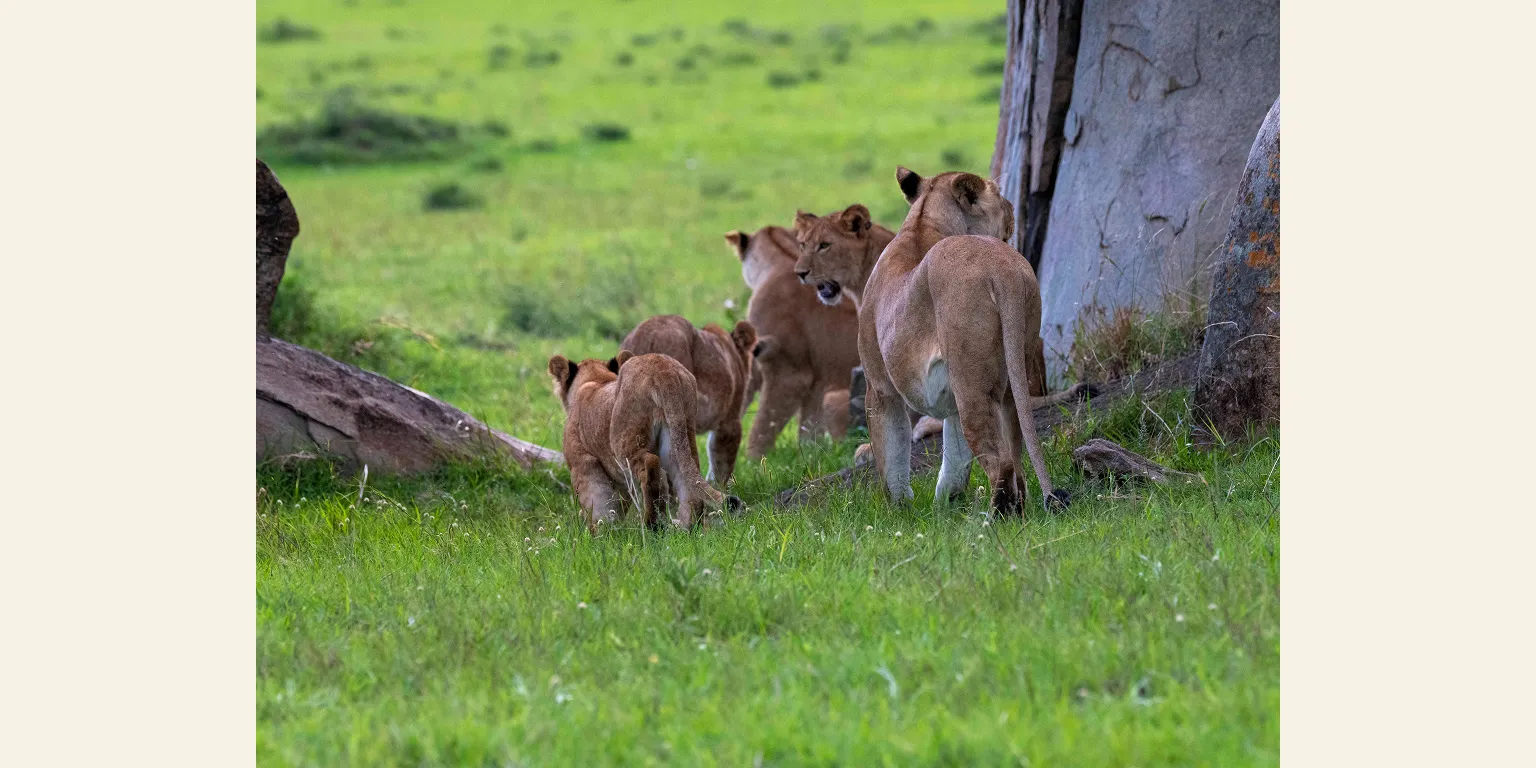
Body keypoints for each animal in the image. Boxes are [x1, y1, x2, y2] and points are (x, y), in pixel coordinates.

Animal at [548, 350, 738, 533]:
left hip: (626, 443)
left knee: (651, 466)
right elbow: (617, 504)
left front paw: (598, 533)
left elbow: (597, 500)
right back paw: (687, 527)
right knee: (687, 479)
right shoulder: (620, 481)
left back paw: (653, 525)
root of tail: (664, 369)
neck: (594, 379)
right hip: (679, 433)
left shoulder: (583, 463)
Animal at [724, 223, 872, 458]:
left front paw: (754, 461)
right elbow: (808, 429)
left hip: (836, 397)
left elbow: (763, 426)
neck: (782, 258)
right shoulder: (816, 382)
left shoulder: (790, 374)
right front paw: (811, 455)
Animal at [793, 168, 1079, 514]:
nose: (1013, 209)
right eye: (999, 195)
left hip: (971, 383)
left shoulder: (880, 387)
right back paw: (1015, 513)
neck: (922, 223)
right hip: (1010, 378)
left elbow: (892, 452)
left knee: (1001, 461)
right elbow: (955, 454)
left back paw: (992, 519)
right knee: (1015, 454)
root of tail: (1001, 267)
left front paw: (899, 508)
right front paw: (946, 503)